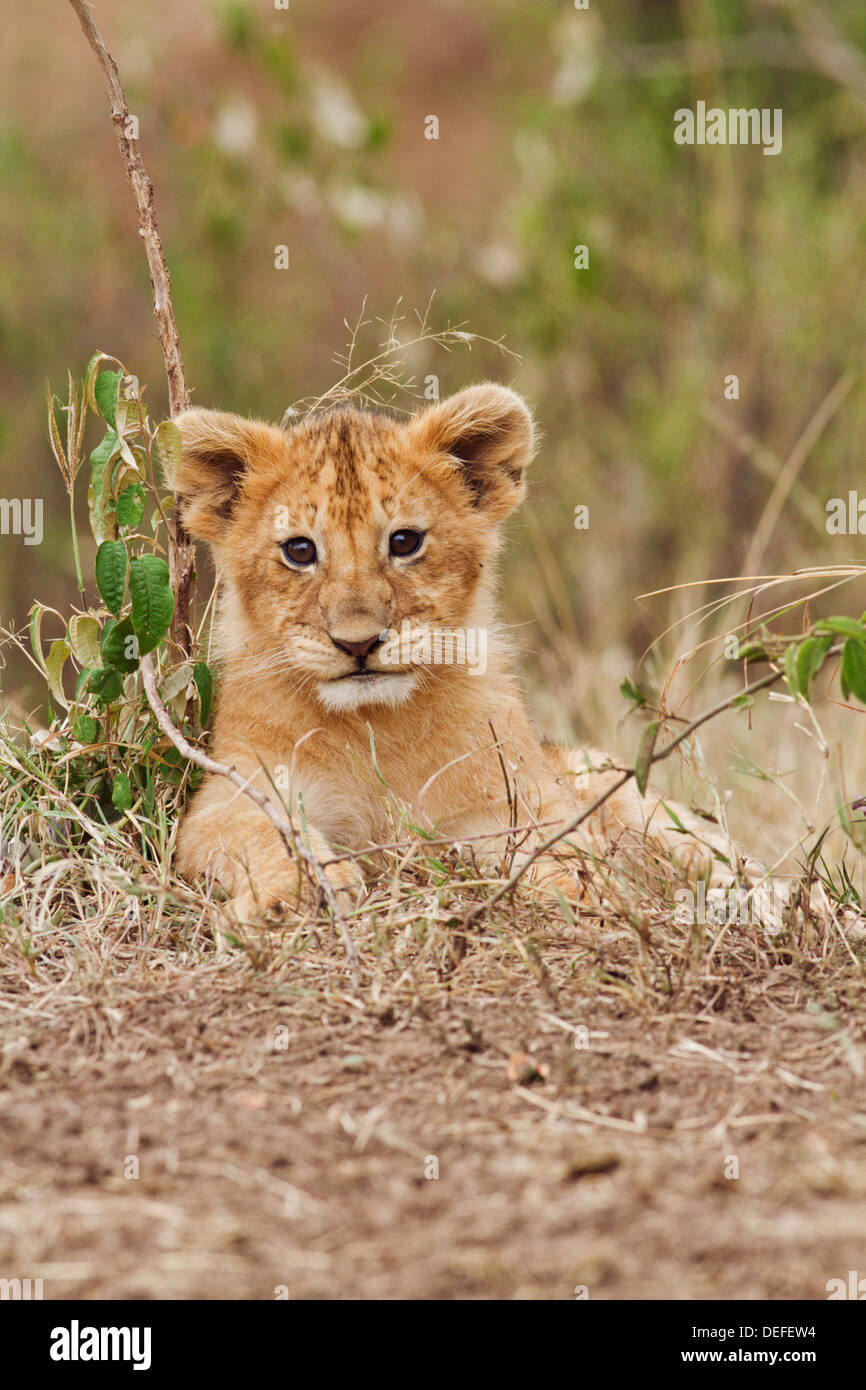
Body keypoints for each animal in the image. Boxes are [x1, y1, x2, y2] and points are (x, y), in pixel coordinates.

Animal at [173, 384, 731, 919]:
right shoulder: (231, 791)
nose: (358, 642)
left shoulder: (519, 797)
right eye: (300, 550)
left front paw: (584, 893)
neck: (375, 726)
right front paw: (297, 893)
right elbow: (266, 832)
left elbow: (559, 847)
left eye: (404, 542)